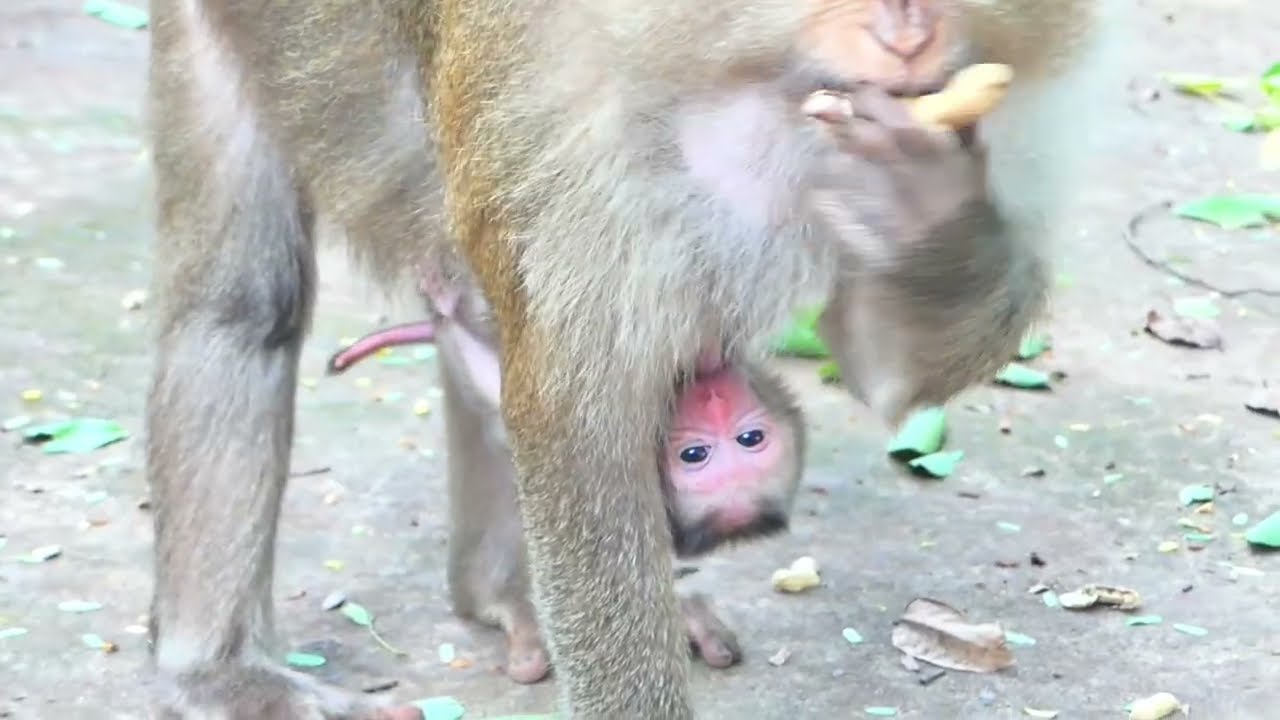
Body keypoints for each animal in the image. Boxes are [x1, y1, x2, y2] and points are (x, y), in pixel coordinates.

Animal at [144, 1, 1110, 717]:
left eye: (746, 441)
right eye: (701, 451)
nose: (909, 32)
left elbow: (886, 370)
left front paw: (923, 202)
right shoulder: (552, 99)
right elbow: (576, 423)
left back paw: (494, 585)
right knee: (241, 308)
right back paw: (219, 671)